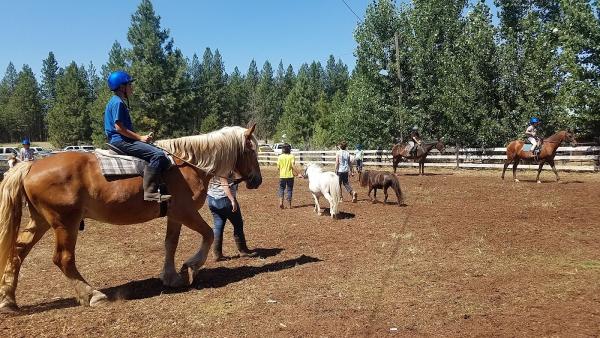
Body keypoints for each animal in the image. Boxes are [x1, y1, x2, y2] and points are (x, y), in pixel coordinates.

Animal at [0, 125, 262, 312]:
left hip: (41, 222)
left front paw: (170, 276)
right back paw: (92, 295)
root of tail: (30, 166)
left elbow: (170, 243)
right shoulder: (186, 212)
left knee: (17, 252)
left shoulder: (174, 215)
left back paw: (8, 300)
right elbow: (207, 234)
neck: (186, 165)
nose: (257, 180)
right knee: (63, 259)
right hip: (65, 223)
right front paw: (191, 267)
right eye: (251, 150)